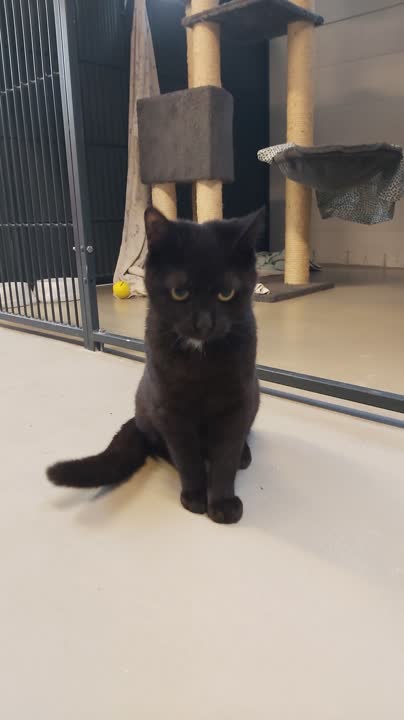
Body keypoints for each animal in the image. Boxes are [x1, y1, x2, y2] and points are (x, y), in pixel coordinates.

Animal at [47, 205, 265, 524]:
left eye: (226, 294)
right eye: (179, 293)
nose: (203, 324)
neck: (200, 359)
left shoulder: (238, 401)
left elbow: (225, 455)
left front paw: (223, 503)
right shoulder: (170, 406)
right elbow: (186, 456)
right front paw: (195, 496)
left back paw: (244, 455)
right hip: (150, 407)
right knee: (159, 444)